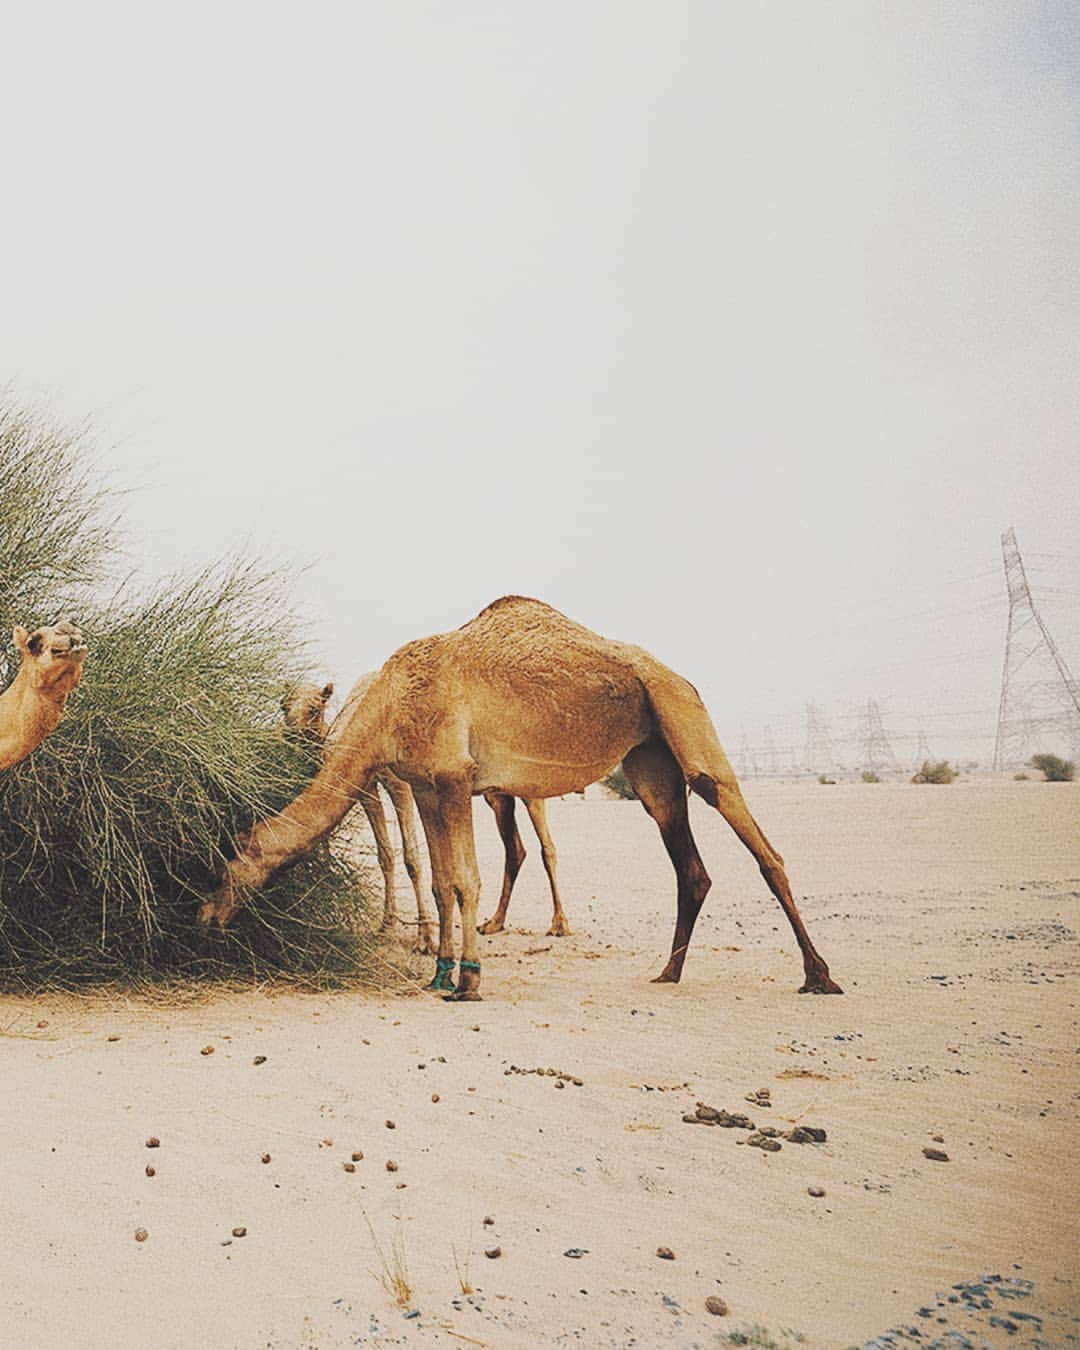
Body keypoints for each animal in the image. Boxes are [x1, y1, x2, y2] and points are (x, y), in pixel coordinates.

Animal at [205, 596, 842, 999]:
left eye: (224, 861)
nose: (204, 915)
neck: (388, 706)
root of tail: (677, 675)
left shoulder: (454, 776)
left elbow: (465, 879)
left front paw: (468, 980)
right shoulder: (426, 785)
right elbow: (440, 881)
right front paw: (439, 971)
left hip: (684, 713)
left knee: (755, 838)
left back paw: (818, 975)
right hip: (650, 759)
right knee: (690, 864)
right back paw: (668, 972)